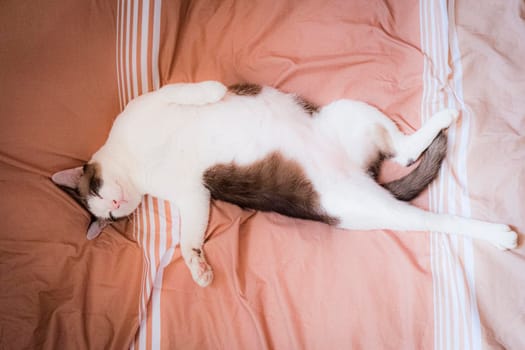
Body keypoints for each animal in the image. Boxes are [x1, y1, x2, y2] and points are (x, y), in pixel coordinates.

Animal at [52, 81, 516, 288]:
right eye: (108, 217)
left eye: (97, 190)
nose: (114, 204)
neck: (138, 164)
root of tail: (359, 171)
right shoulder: (192, 195)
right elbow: (188, 238)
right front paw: (198, 269)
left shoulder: (153, 99)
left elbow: (192, 89)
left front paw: (214, 91)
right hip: (363, 199)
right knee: (416, 186)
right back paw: (500, 233)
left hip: (348, 111)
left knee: (403, 151)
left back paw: (443, 119)